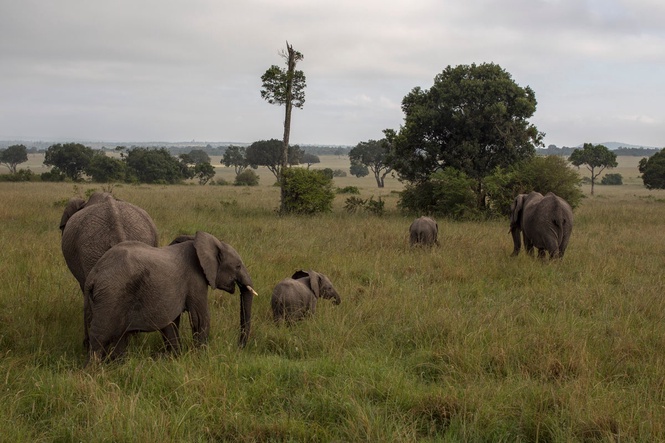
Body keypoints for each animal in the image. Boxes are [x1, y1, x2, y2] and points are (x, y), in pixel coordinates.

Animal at [84, 231, 257, 362]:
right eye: (238, 266)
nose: (239, 348)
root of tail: (93, 276)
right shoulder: (195, 279)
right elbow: (200, 318)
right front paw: (201, 357)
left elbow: (171, 322)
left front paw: (176, 358)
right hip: (111, 295)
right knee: (100, 336)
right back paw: (94, 371)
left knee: (119, 335)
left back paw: (119, 365)